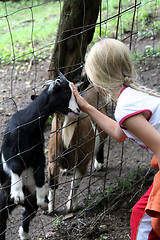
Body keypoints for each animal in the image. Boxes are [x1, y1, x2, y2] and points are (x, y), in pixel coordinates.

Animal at [0, 73, 80, 240]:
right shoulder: (10, 150)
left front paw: (43, 199)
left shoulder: (38, 154)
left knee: (27, 213)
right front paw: (17, 193)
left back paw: (24, 234)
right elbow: (16, 166)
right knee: (2, 220)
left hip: (29, 203)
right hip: (3, 200)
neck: (29, 124)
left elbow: (39, 175)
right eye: (65, 93)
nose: (78, 109)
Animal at [47, 84, 107, 212]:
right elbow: (53, 184)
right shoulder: (52, 161)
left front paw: (72, 206)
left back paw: (99, 164)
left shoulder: (83, 161)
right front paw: (50, 208)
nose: (76, 110)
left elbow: (75, 183)